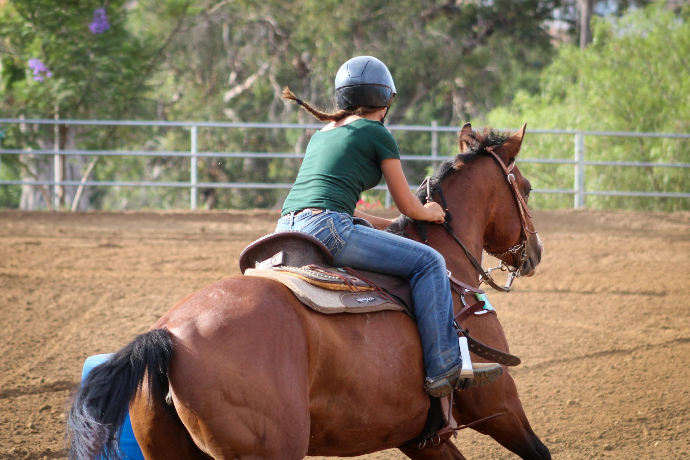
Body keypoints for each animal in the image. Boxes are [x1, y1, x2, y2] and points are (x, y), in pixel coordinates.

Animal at [67, 123, 548, 460]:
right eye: (525, 188)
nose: (535, 252)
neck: (448, 265)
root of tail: (167, 335)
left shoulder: (420, 437)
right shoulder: (501, 406)